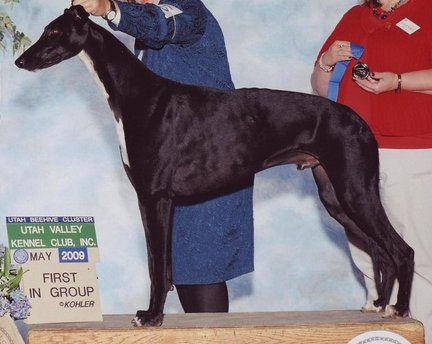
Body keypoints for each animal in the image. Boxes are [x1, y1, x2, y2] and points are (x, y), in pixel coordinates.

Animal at [16, 6, 416, 326]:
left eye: (54, 31)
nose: (20, 62)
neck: (136, 94)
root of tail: (360, 121)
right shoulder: (151, 200)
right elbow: (160, 264)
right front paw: (153, 312)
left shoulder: (156, 197)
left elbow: (157, 267)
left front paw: (152, 317)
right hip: (335, 195)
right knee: (380, 250)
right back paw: (379, 304)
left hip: (355, 188)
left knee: (401, 250)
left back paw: (400, 310)